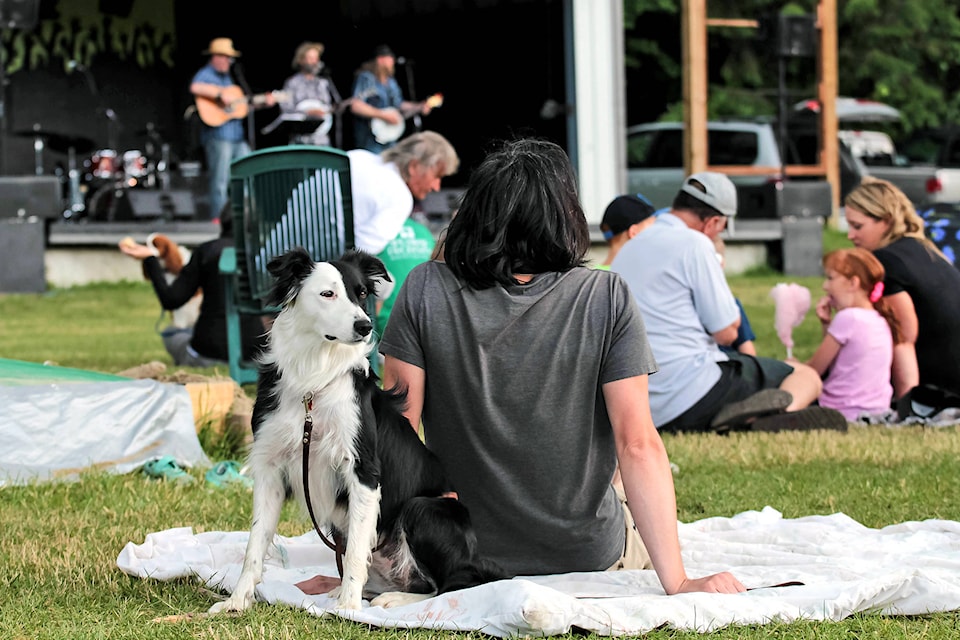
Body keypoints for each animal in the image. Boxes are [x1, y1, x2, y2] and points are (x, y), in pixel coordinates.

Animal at [209, 248, 506, 612]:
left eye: (361, 293)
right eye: (327, 294)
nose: (364, 326)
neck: (313, 382)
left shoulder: (363, 470)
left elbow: (353, 554)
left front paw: (348, 609)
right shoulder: (270, 468)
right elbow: (254, 544)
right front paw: (237, 601)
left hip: (424, 508)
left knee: (449, 584)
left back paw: (391, 598)